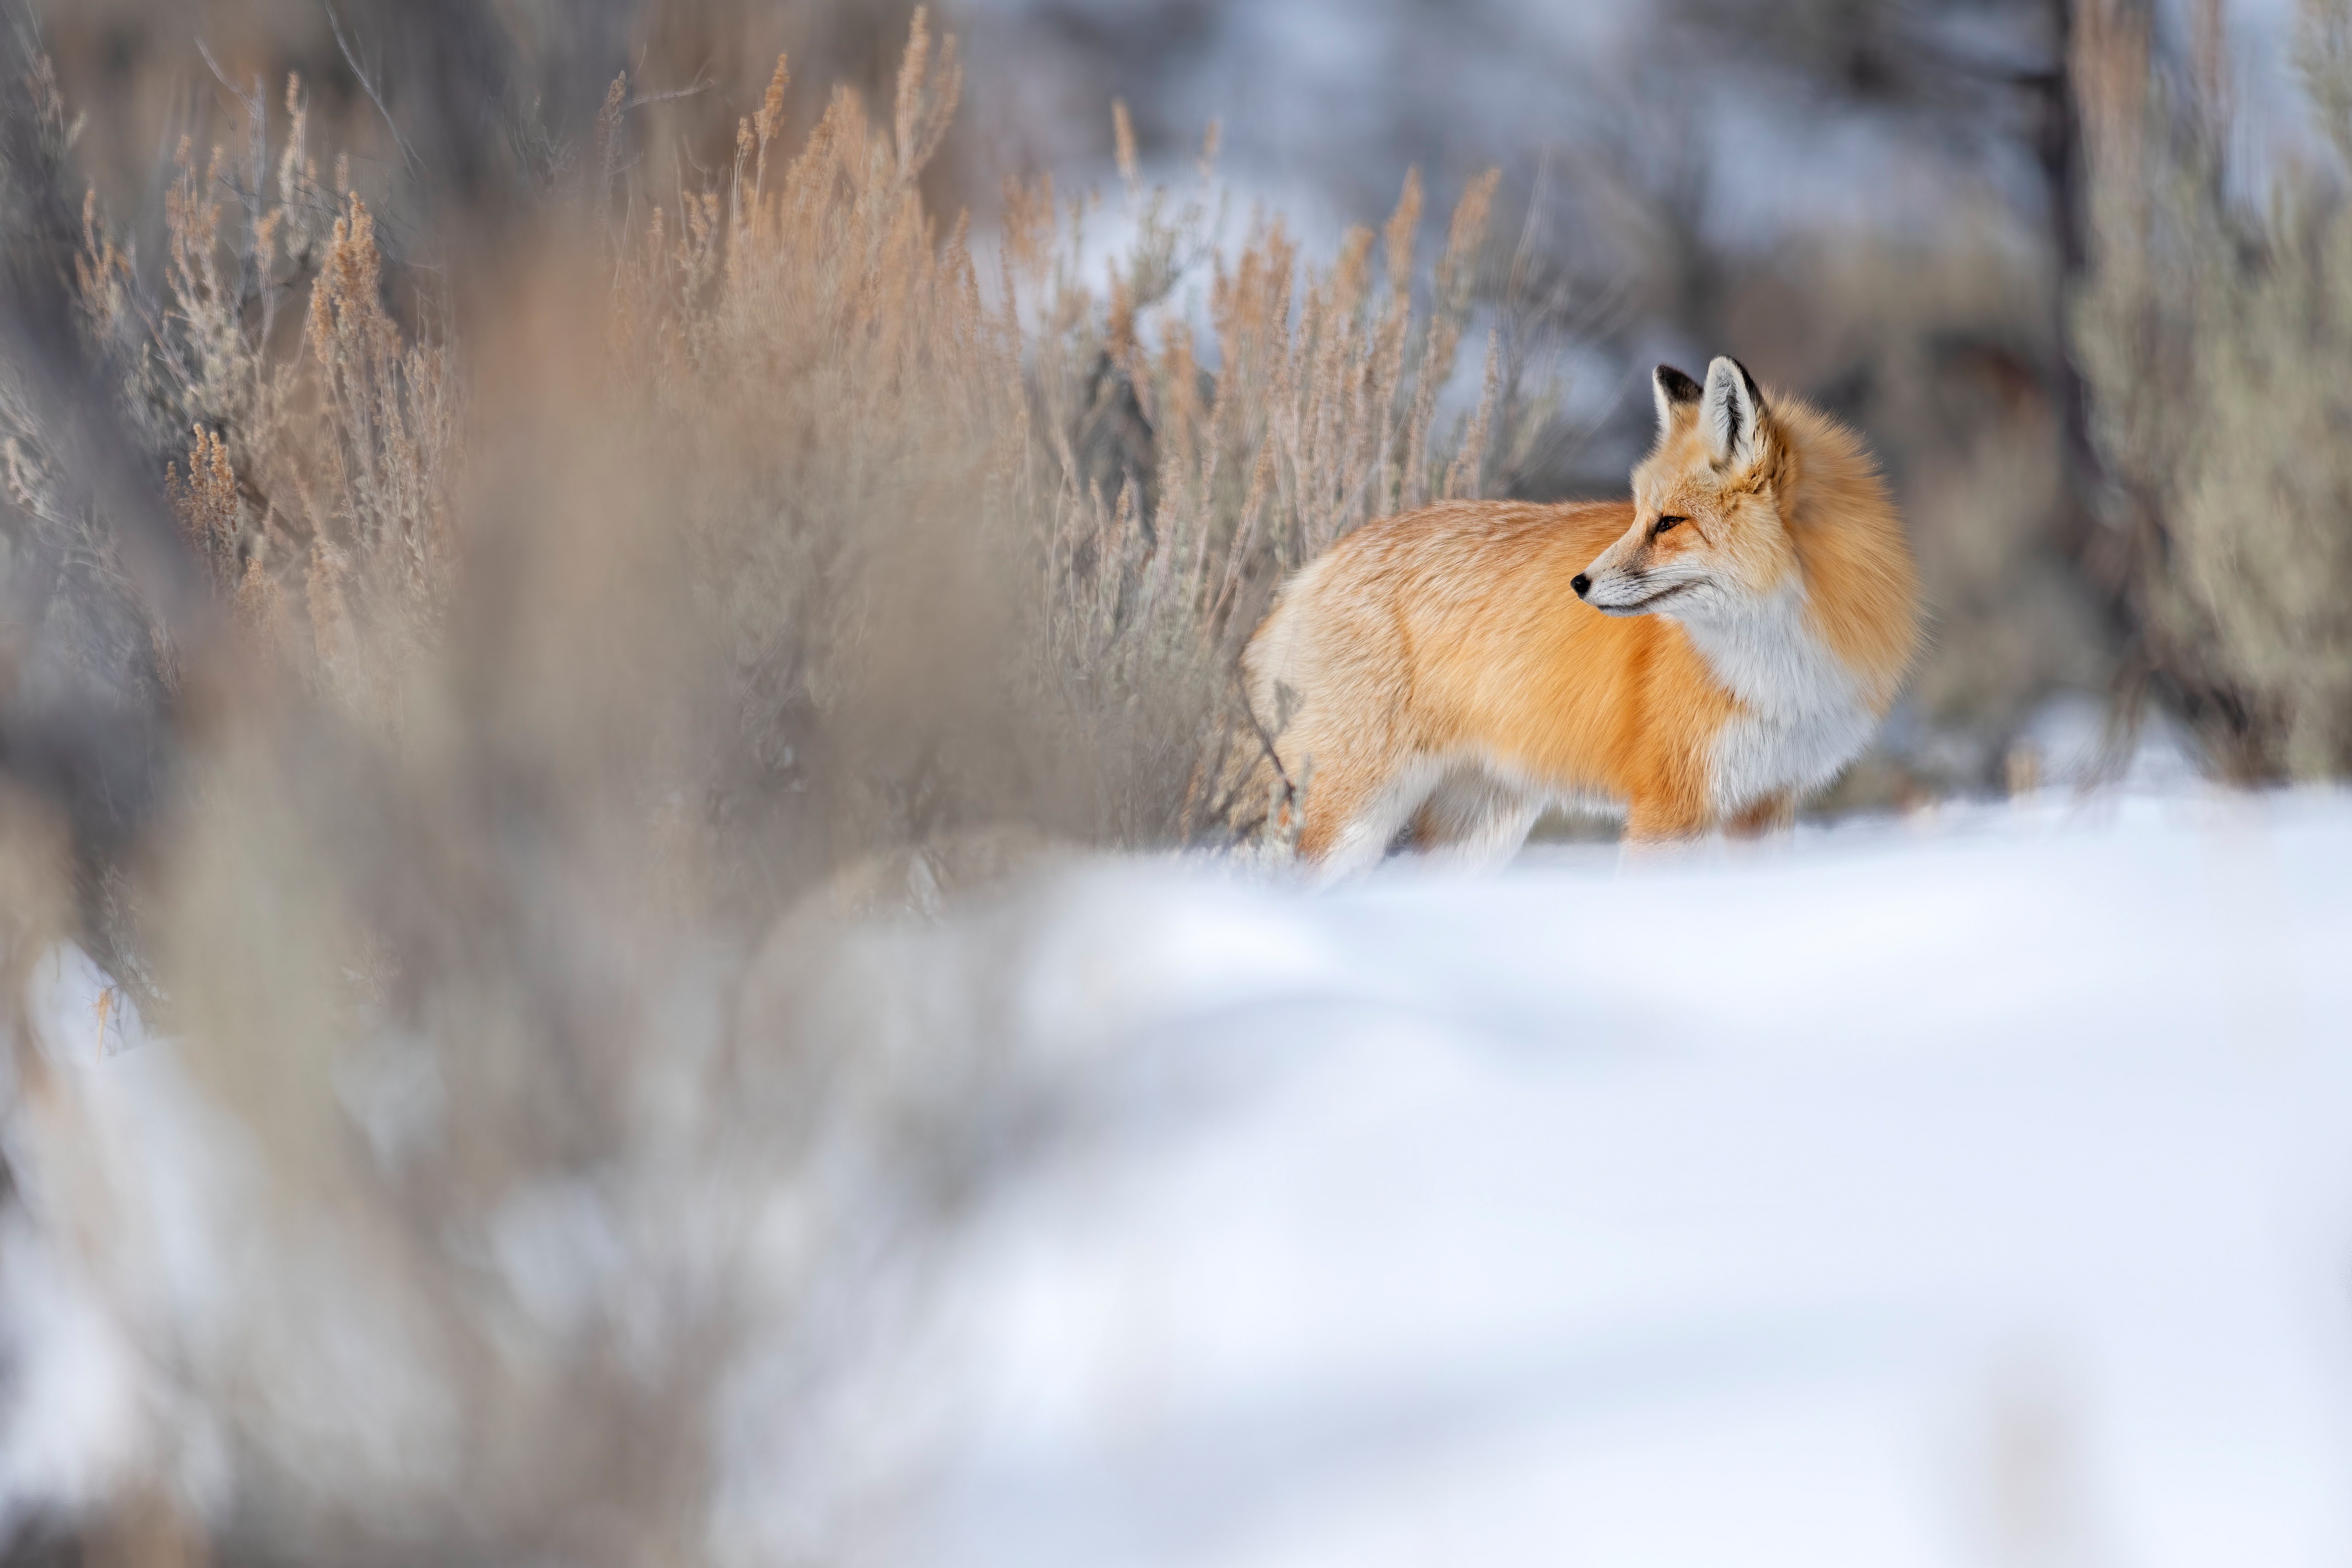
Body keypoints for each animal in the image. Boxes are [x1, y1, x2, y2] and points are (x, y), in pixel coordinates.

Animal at [1242, 350, 1919, 879]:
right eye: (1638, 515)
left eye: (1668, 523)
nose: (1579, 583)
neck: (1777, 662)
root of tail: (1314, 567)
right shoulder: (1670, 803)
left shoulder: (1767, 802)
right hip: (1347, 817)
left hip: (1477, 833)